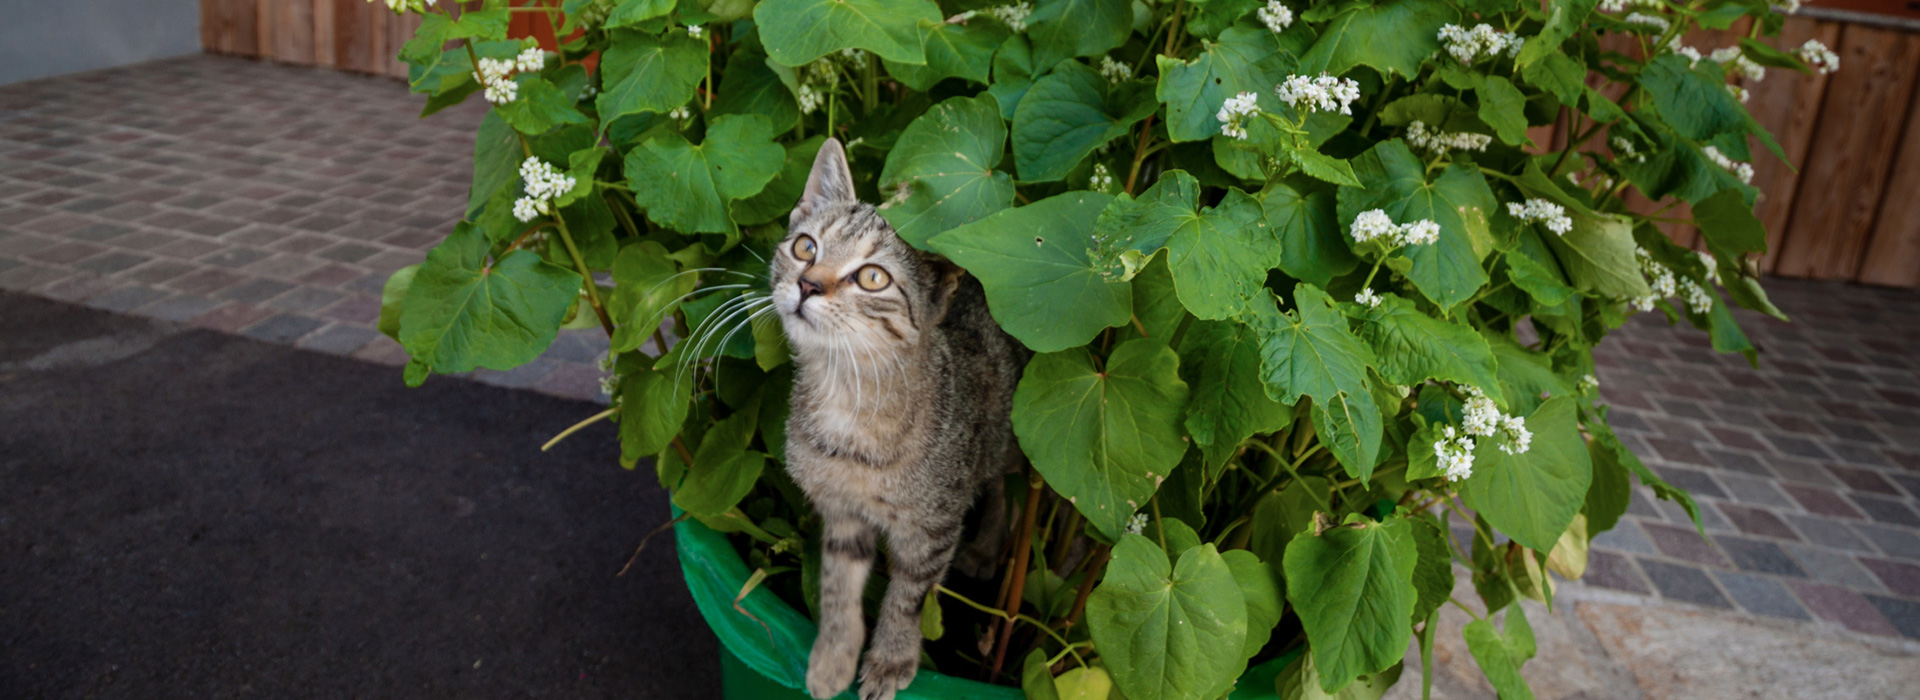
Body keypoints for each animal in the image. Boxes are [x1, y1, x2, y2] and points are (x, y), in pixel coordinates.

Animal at [768, 139, 1029, 694]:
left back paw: (988, 548)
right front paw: (833, 659)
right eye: (805, 248)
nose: (807, 285)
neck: (849, 398)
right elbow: (838, 587)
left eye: (872, 277)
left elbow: (909, 599)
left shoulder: (931, 528)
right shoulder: (840, 513)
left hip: (1013, 432)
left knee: (1009, 487)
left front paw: (891, 659)